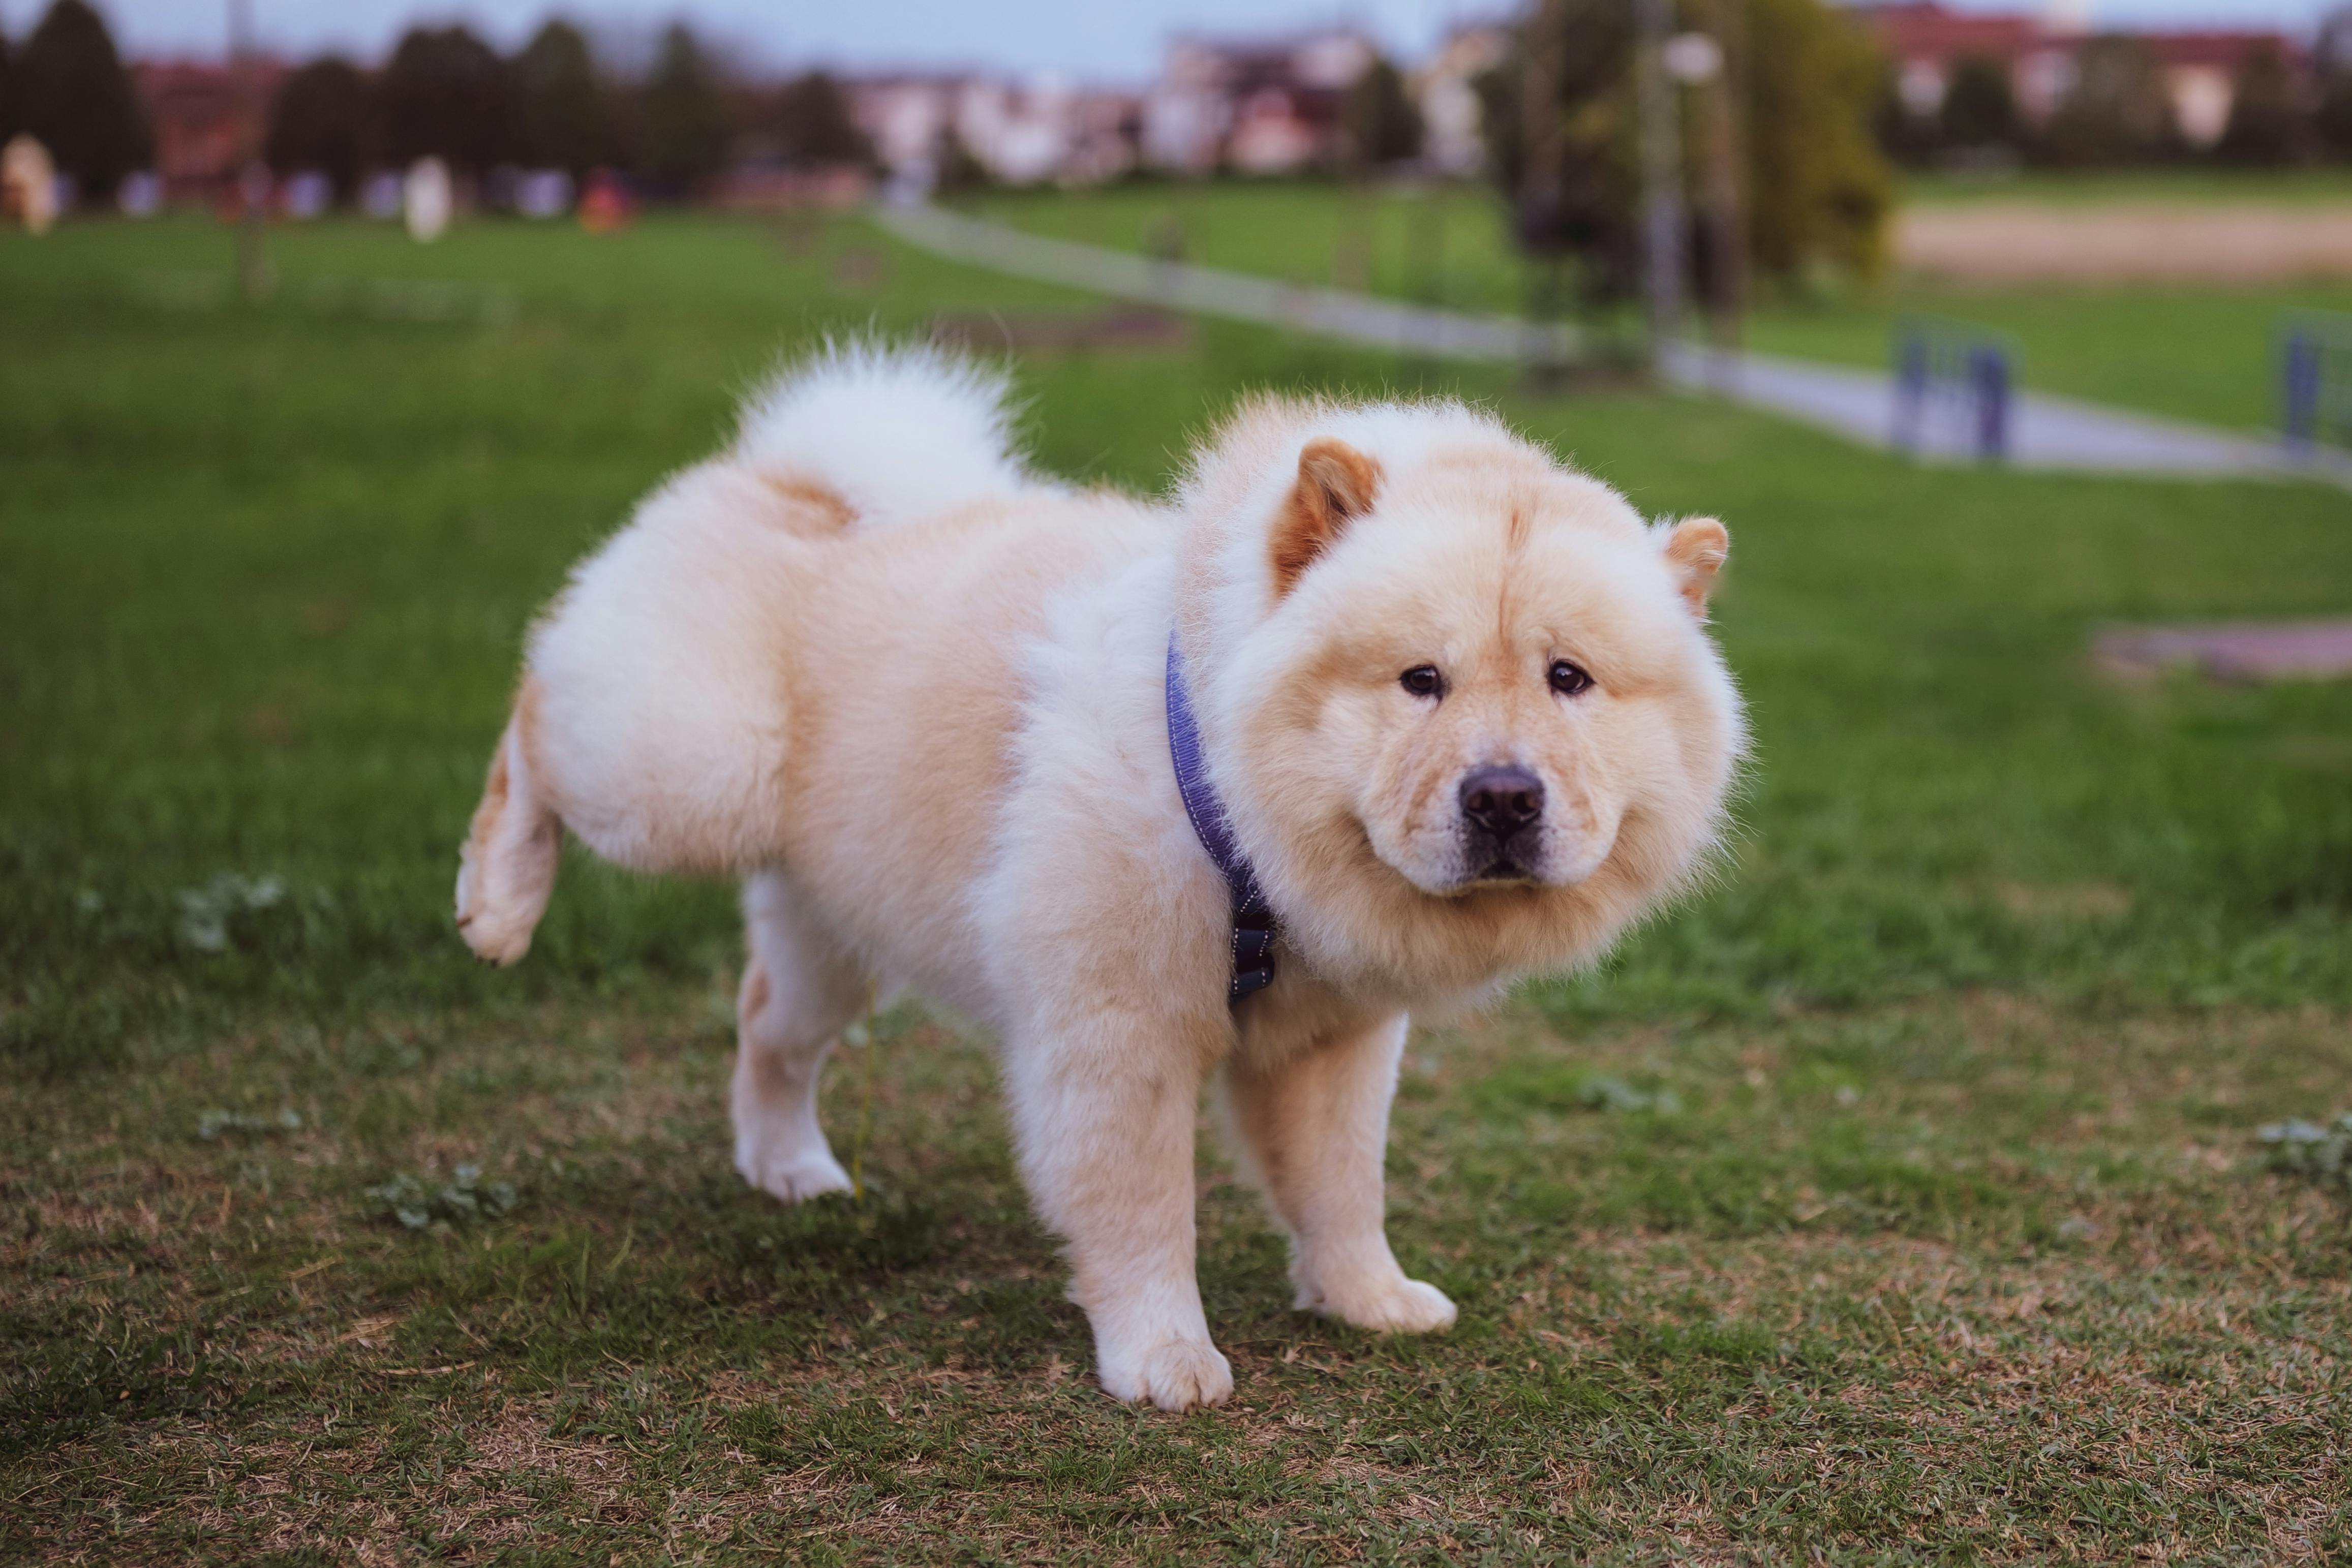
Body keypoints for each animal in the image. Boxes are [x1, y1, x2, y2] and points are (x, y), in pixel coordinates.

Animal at [454, 350, 1750, 1420]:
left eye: (1570, 679)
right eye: (1418, 679)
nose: (1503, 796)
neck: (1241, 817)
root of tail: (790, 480)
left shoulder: (1334, 1040)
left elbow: (1343, 1184)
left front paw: (1370, 1299)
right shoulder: (1118, 1026)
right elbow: (1142, 1210)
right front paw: (1166, 1362)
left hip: (837, 927)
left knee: (767, 1024)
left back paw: (791, 1169)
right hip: (688, 769)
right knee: (533, 711)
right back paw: (497, 899)